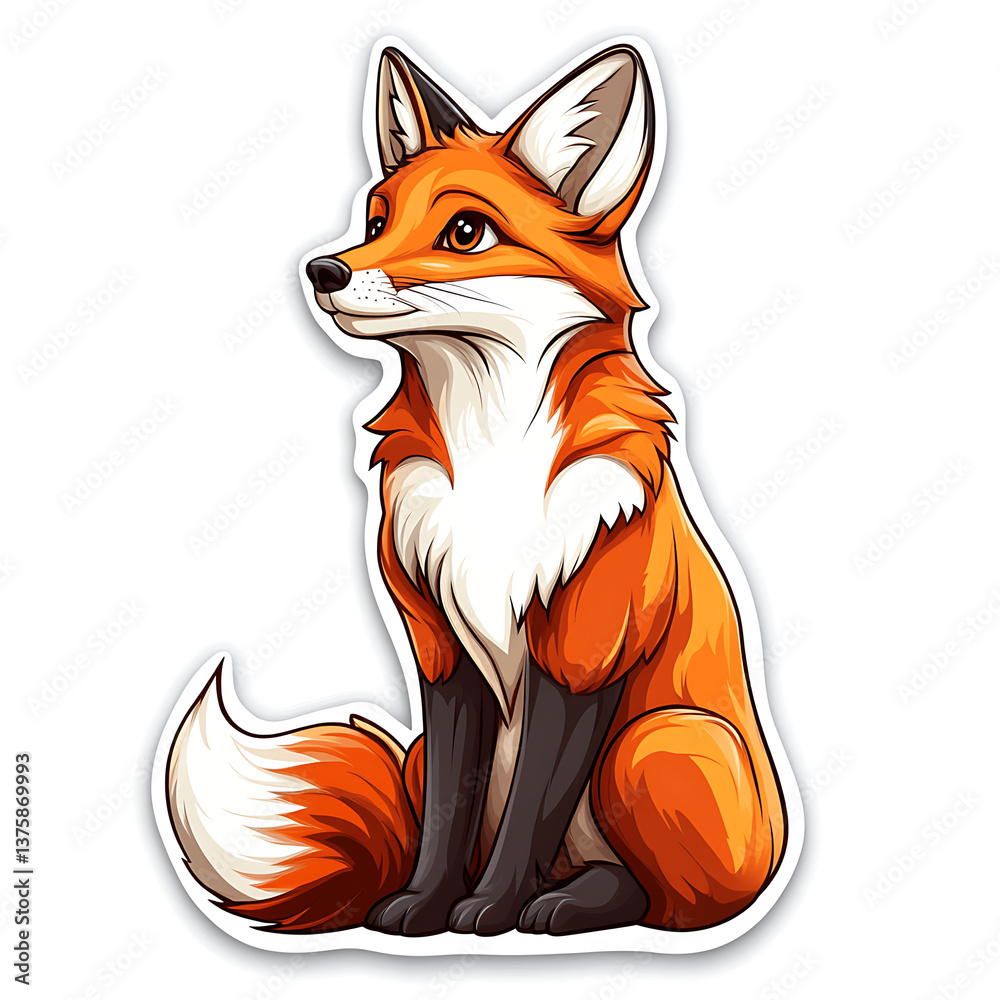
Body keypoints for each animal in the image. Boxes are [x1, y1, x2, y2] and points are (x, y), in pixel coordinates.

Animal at [161, 39, 798, 945]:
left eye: (466, 231)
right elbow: (449, 820)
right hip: (433, 754)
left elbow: (532, 804)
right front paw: (427, 908)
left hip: (659, 742)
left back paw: (566, 905)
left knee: (665, 903)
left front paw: (490, 910)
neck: (493, 453)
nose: (324, 269)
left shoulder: (582, 649)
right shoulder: (442, 653)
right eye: (377, 220)